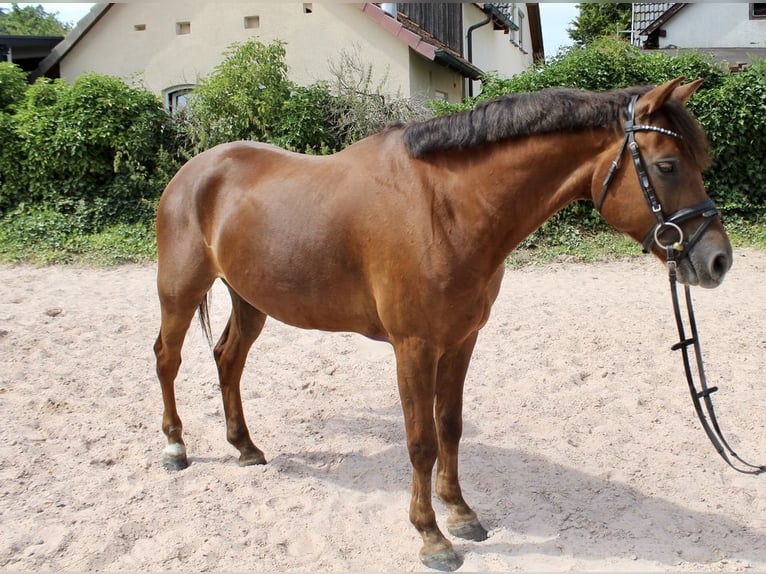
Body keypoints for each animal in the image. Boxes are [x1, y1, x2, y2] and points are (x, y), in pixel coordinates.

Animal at [154, 79, 732, 572]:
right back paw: (176, 448)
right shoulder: (413, 347)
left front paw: (461, 513)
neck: (446, 208)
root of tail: (193, 170)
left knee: (228, 358)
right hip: (179, 291)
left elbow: (449, 426)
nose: (718, 260)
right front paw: (431, 537)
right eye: (667, 165)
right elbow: (421, 441)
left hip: (251, 299)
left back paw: (245, 447)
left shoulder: (461, 340)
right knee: (168, 359)